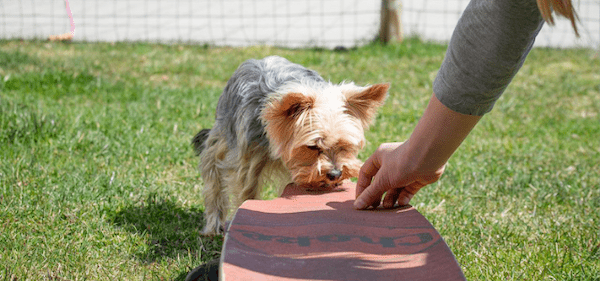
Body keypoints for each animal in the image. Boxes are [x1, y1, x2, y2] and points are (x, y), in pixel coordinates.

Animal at [193, 55, 390, 234]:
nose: (335, 174)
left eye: (344, 145)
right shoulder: (250, 154)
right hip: (224, 132)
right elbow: (247, 192)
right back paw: (214, 225)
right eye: (312, 147)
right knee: (212, 166)